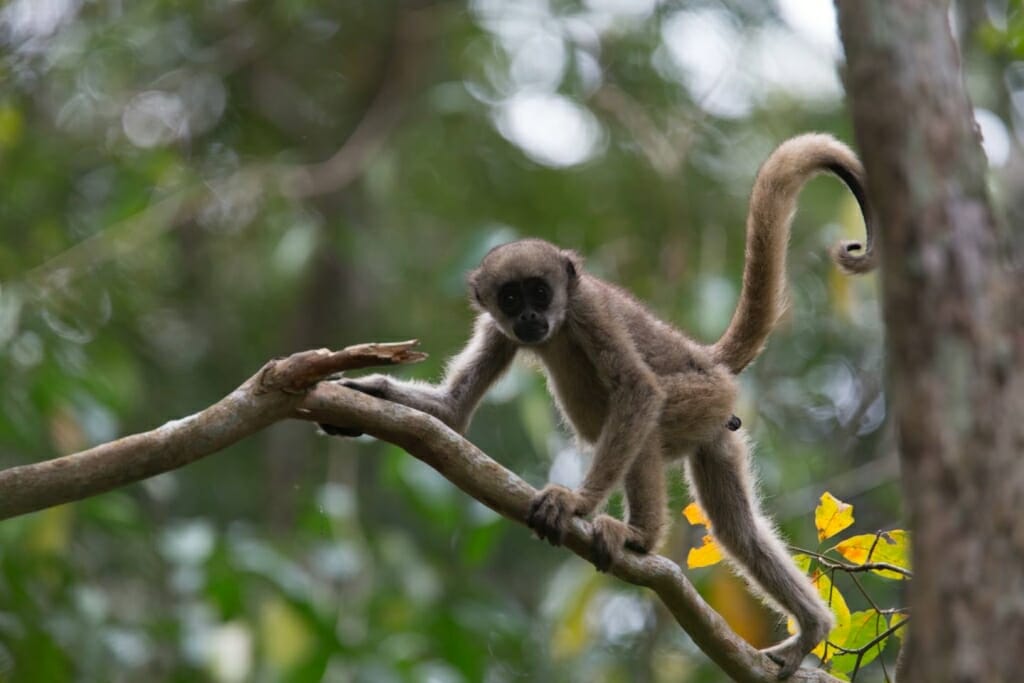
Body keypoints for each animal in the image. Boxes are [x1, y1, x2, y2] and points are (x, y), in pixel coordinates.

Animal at [325, 135, 872, 679]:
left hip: (702, 397)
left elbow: (638, 391)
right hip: (718, 428)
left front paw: (576, 504)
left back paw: (640, 540)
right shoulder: (498, 329)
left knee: (649, 424)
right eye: (510, 297)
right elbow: (452, 412)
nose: (529, 317)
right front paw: (364, 391)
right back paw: (814, 628)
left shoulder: (589, 308)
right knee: (735, 528)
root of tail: (706, 358)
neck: (559, 323)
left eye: (540, 291)